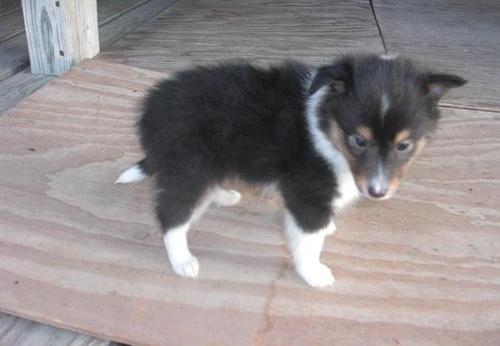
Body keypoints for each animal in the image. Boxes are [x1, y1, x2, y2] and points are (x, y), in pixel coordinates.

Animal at [116, 53, 464, 286]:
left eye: (404, 145)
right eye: (358, 140)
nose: (377, 192)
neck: (326, 125)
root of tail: (150, 112)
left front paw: (328, 226)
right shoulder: (307, 192)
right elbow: (308, 241)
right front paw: (314, 273)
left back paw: (223, 194)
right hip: (190, 167)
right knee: (172, 215)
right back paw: (183, 261)